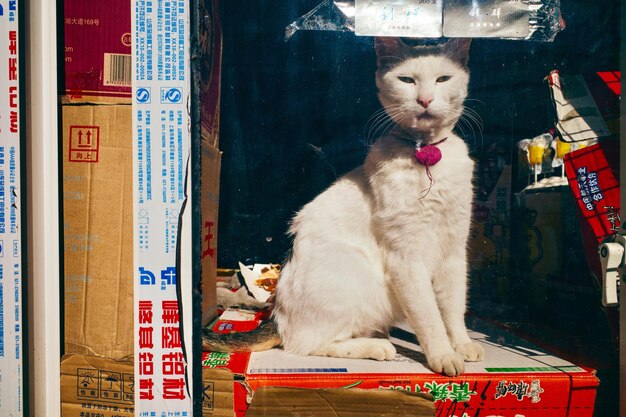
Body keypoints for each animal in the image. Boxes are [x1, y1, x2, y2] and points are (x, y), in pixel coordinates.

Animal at [204, 37, 482, 376]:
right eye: (407, 80)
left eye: (443, 79)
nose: (425, 99)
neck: (426, 154)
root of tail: (276, 314)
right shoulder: (406, 257)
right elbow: (429, 315)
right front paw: (443, 353)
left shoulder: (454, 251)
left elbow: (453, 308)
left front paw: (462, 344)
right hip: (354, 272)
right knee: (306, 344)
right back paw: (377, 346)